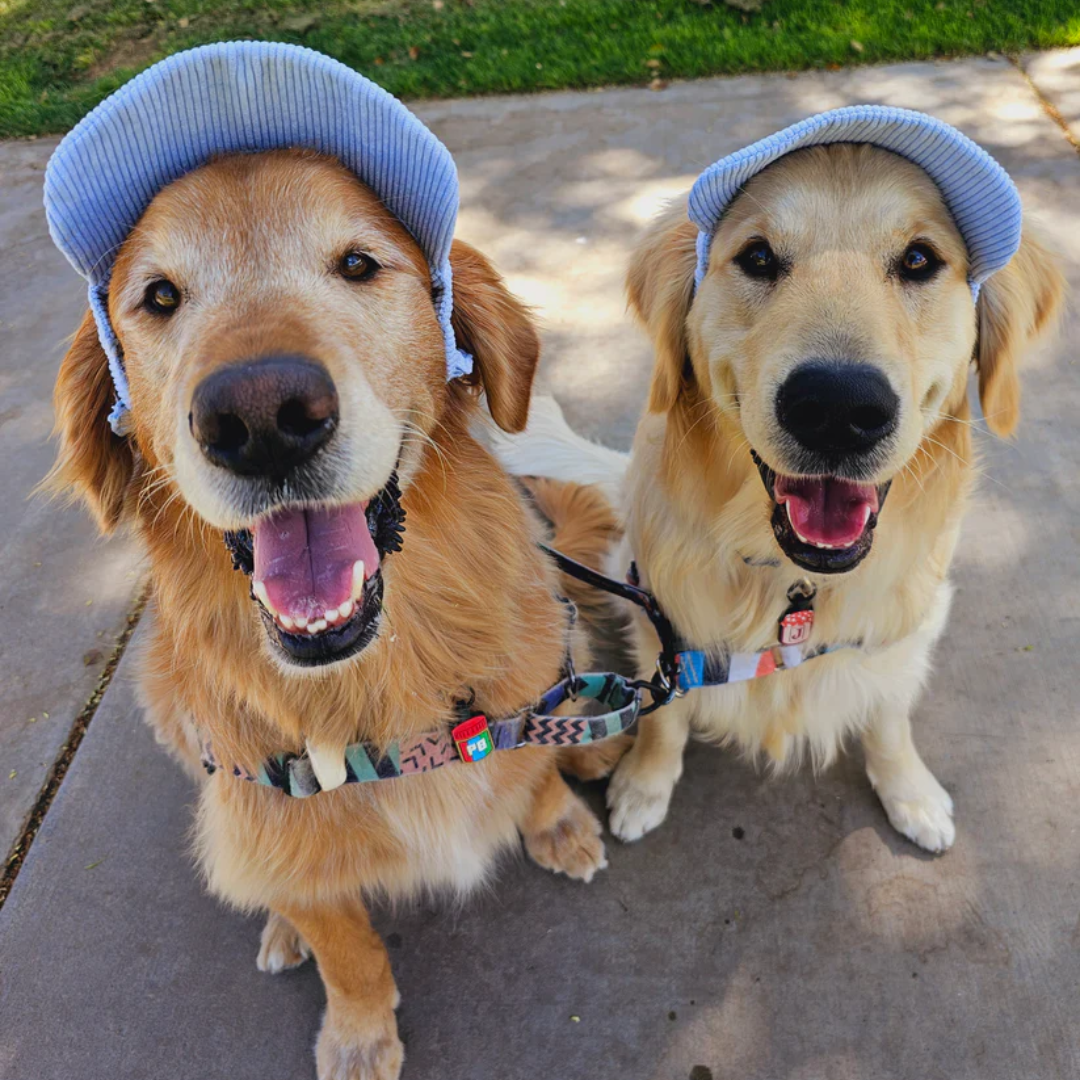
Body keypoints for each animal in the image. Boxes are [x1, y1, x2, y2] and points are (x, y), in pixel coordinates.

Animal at [48, 150, 626, 1080]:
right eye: (160, 297)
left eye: (358, 264)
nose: (259, 417)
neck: (377, 682)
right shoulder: (274, 814)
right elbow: (344, 945)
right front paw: (358, 1031)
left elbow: (530, 771)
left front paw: (558, 820)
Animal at [494, 141, 1062, 851]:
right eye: (758, 257)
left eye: (919, 259)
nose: (836, 409)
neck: (797, 583)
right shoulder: (665, 623)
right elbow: (664, 717)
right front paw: (645, 785)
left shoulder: (903, 627)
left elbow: (889, 716)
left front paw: (910, 793)